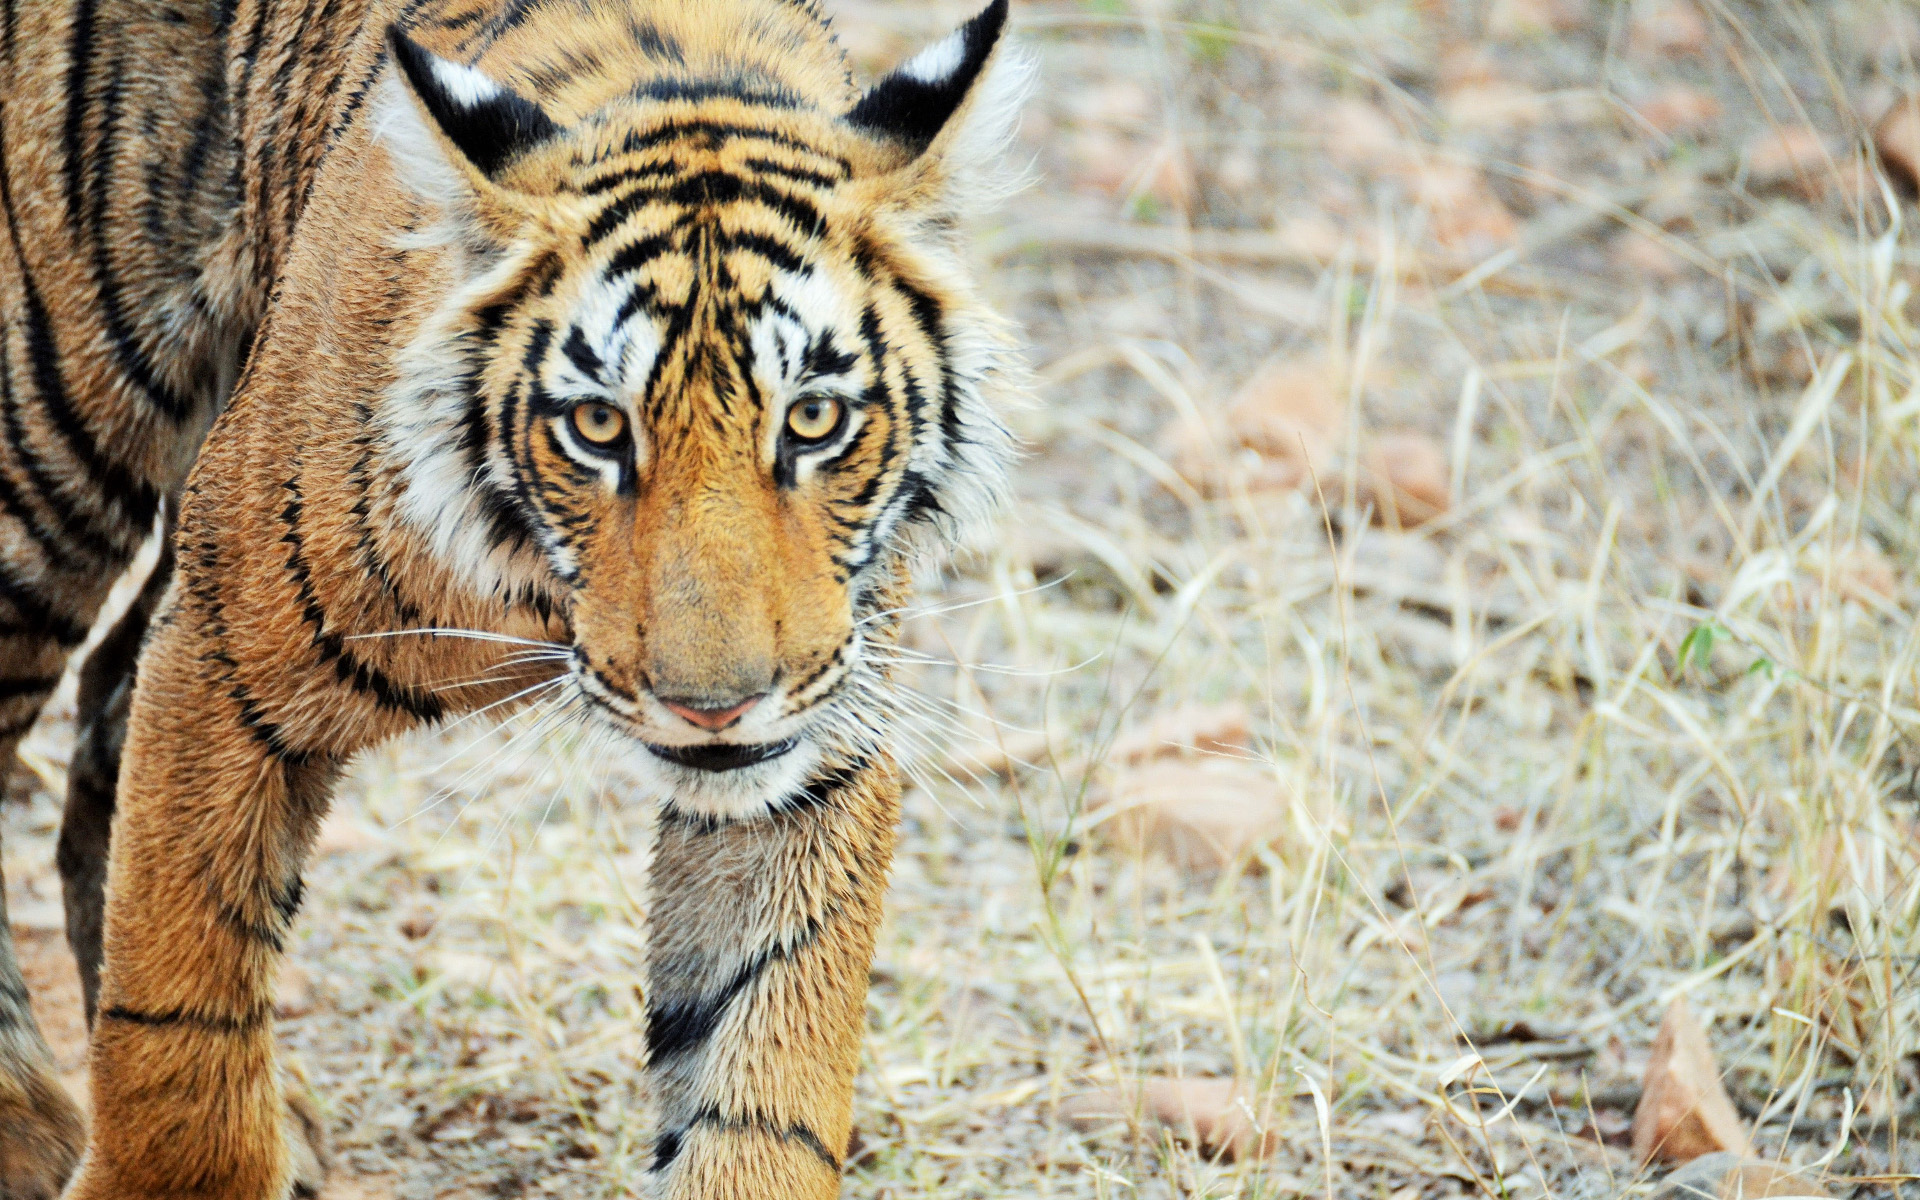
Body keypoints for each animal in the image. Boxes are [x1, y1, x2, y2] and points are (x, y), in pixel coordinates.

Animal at [0, 0, 1029, 1194]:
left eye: (813, 420)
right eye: (597, 427)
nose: (714, 707)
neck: (540, 603)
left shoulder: (817, 741)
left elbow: (761, 1059)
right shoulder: (224, 645)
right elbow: (177, 993)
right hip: (53, 441)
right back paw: (26, 1118)